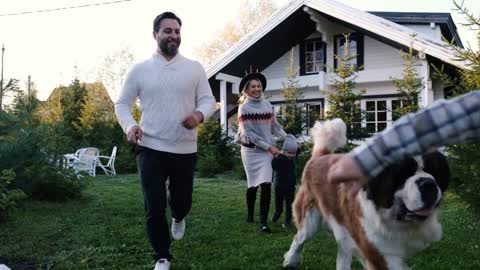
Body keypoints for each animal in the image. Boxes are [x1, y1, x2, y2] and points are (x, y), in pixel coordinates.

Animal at [284, 119, 448, 270]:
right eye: (402, 173)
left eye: (434, 170)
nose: (428, 184)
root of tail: (319, 157)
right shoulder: (379, 253)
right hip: (310, 220)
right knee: (299, 238)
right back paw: (291, 260)